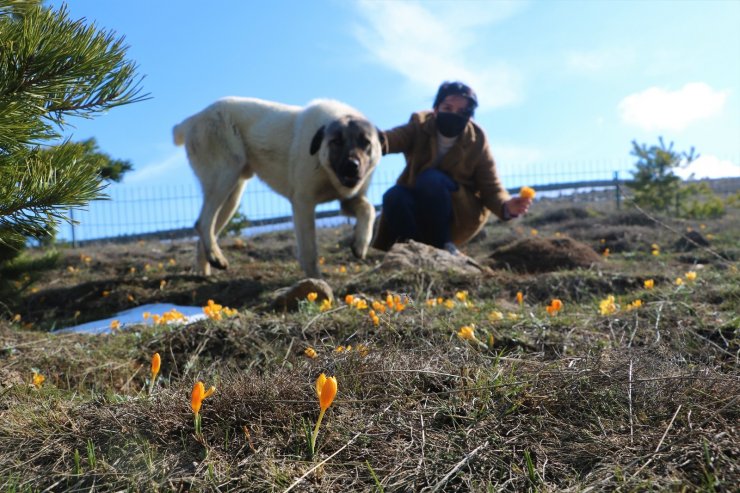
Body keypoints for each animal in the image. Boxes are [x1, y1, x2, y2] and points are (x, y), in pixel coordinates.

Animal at [173, 96, 382, 276]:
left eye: (366, 143)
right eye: (336, 141)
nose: (352, 166)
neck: (326, 169)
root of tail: (194, 118)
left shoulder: (348, 201)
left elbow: (369, 209)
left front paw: (360, 244)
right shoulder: (303, 204)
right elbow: (309, 251)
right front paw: (316, 281)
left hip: (232, 198)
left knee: (205, 231)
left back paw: (205, 272)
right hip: (224, 178)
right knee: (202, 223)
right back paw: (216, 258)